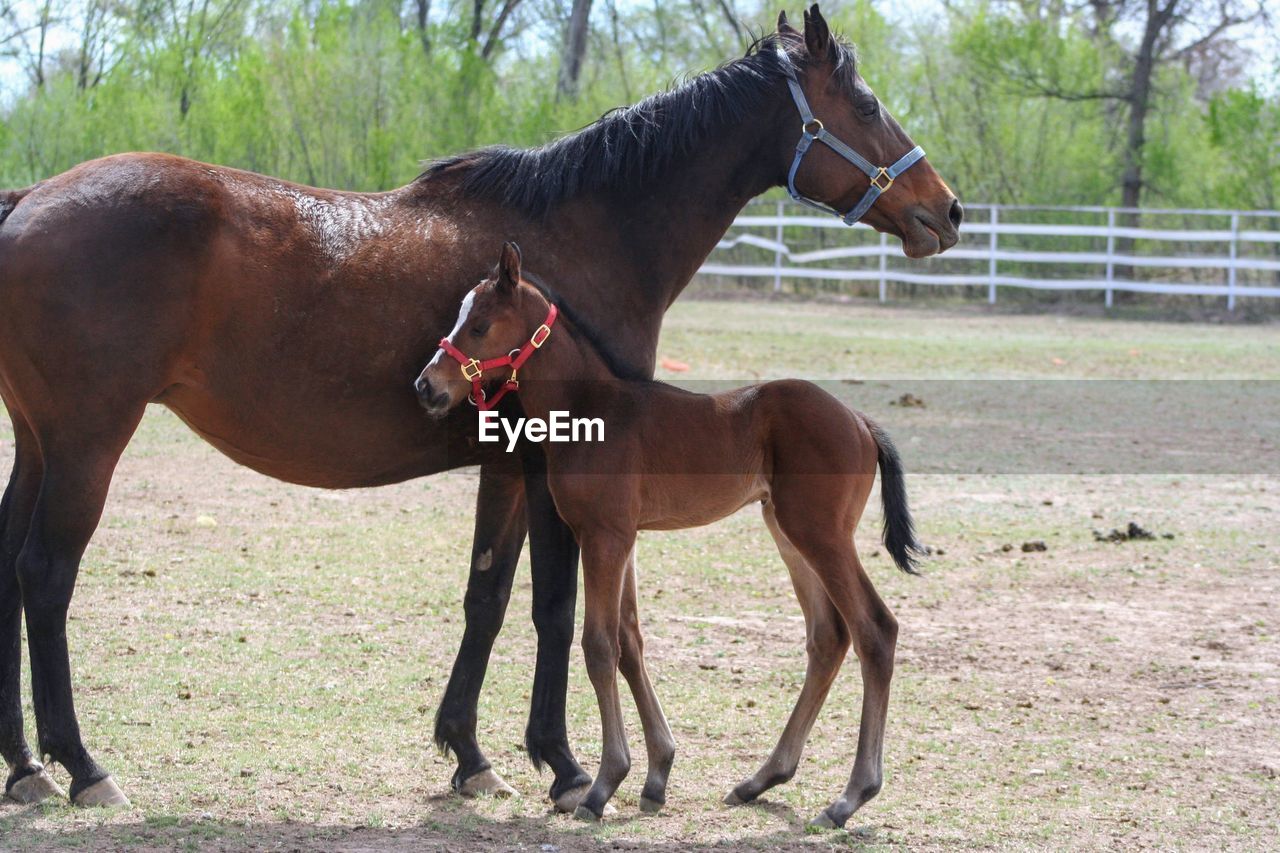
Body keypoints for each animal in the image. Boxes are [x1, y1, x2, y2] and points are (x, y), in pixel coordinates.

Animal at [414, 242, 926, 824]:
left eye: (478, 325)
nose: (426, 386)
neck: (593, 410)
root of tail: (860, 420)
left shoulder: (605, 537)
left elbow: (599, 645)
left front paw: (602, 786)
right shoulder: (619, 536)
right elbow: (630, 641)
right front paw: (655, 775)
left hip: (822, 534)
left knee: (875, 630)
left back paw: (849, 797)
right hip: (787, 531)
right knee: (828, 637)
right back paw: (761, 780)